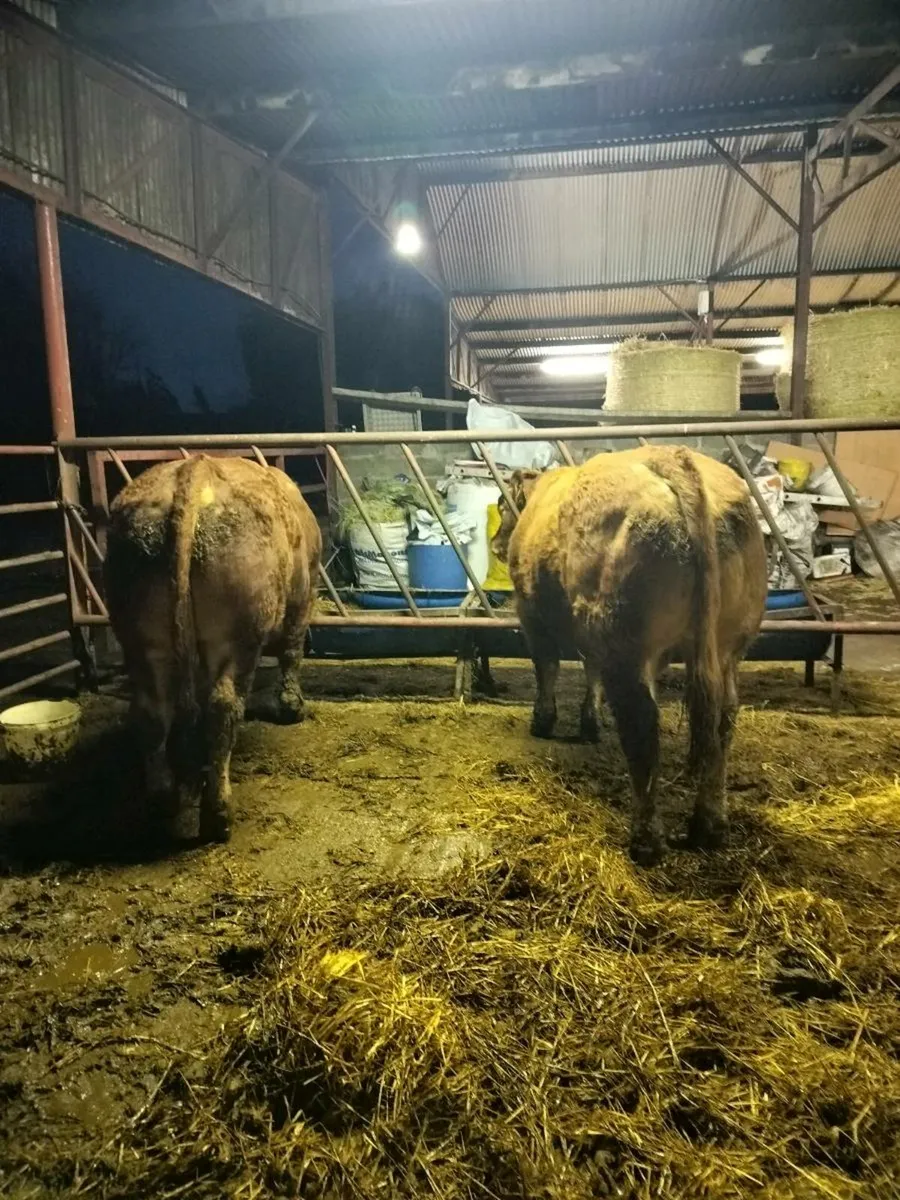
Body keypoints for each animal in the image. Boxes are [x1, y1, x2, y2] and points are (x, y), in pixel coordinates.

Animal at [104, 455, 321, 843]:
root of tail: (192, 470)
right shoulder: (303, 596)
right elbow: (292, 651)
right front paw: (292, 706)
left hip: (141, 638)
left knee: (151, 713)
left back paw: (164, 800)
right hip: (236, 638)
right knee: (222, 708)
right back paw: (218, 814)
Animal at [492, 445, 767, 867]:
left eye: (502, 506)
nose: (495, 544)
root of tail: (672, 456)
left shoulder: (532, 615)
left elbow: (547, 667)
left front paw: (543, 721)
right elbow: (590, 670)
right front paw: (589, 724)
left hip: (626, 643)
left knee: (642, 726)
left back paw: (646, 842)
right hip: (727, 647)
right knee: (723, 719)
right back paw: (709, 827)